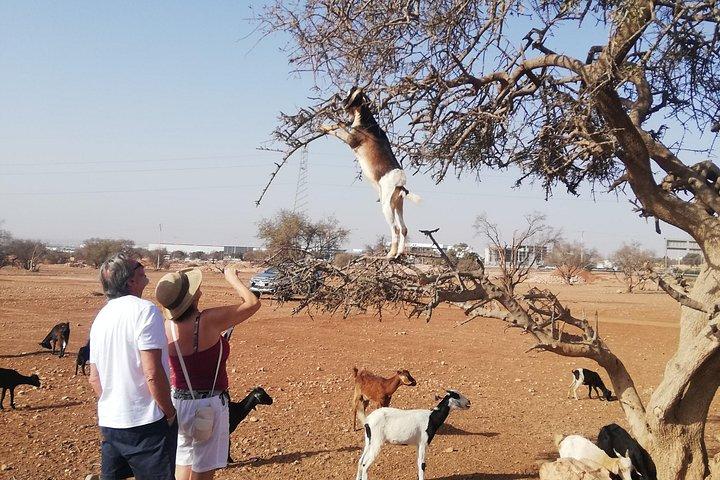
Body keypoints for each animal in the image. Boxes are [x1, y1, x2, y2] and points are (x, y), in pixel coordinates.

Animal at [320, 86, 421, 259]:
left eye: (349, 93)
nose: (339, 100)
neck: (365, 119)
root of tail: (401, 185)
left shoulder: (350, 139)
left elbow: (339, 128)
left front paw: (324, 126)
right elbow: (340, 124)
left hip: (386, 207)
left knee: (395, 229)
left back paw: (390, 254)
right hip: (397, 205)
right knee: (403, 229)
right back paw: (399, 253)